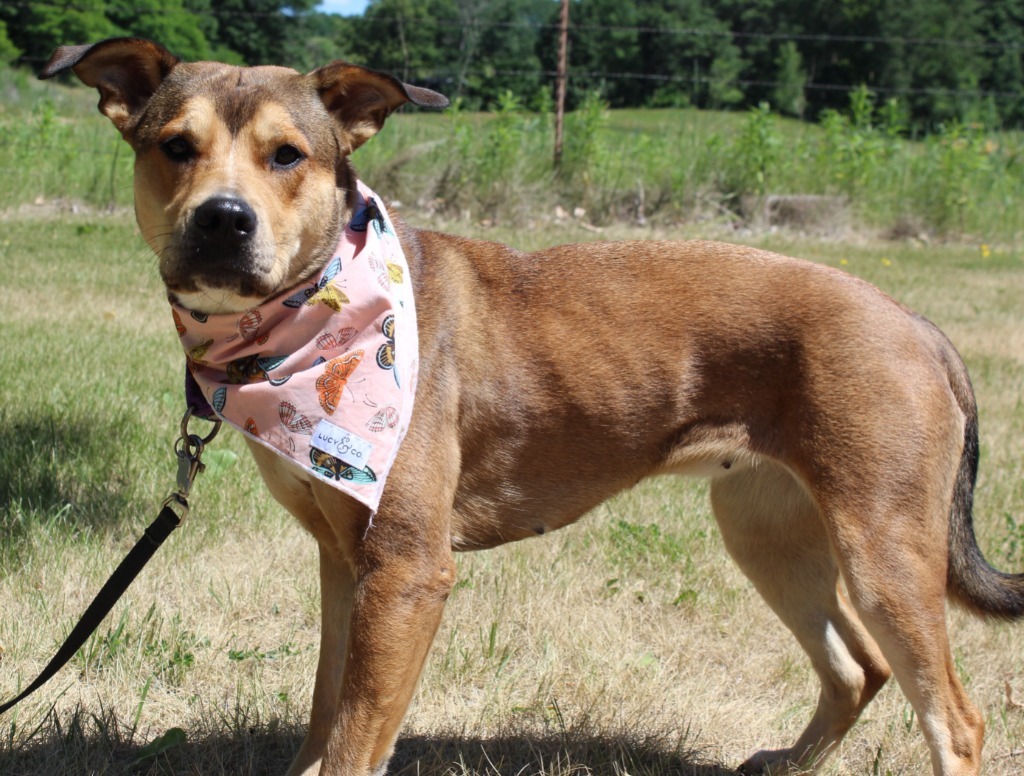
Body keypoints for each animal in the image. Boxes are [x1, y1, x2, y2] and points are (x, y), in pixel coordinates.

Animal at [41, 39, 1024, 776]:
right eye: (174, 145)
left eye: (289, 155)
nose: (222, 220)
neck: (306, 321)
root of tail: (917, 324)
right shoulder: (343, 562)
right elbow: (327, 714)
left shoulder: (407, 571)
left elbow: (356, 738)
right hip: (768, 532)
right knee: (857, 669)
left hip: (884, 548)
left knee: (955, 718)